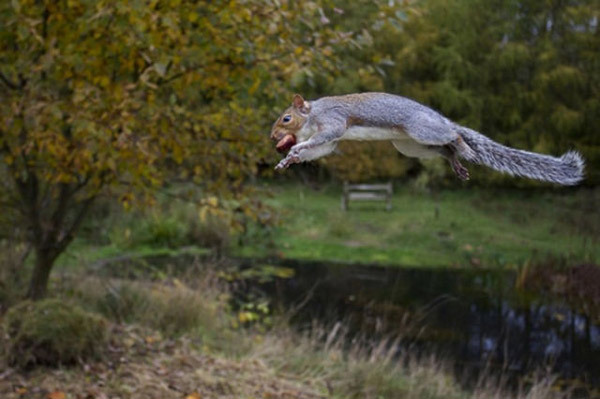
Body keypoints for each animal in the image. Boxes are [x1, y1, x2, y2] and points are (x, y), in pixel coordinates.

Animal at [270, 93, 584, 186]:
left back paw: (464, 145)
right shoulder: (330, 140)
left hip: (422, 131)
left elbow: (322, 138)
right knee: (443, 150)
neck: (313, 114)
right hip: (411, 145)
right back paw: (456, 162)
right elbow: (322, 148)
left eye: (286, 118)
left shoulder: (333, 122)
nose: (273, 137)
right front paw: (290, 159)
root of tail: (443, 119)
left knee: (453, 136)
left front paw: (298, 147)